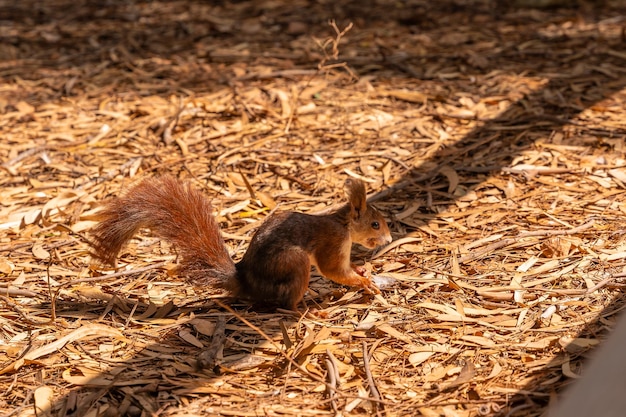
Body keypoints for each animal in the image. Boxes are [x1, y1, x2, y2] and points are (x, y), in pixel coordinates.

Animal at [88, 175, 390, 308]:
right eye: (375, 224)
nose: (388, 239)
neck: (344, 225)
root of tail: (247, 282)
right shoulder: (332, 242)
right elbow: (333, 270)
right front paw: (362, 282)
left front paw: (363, 270)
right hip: (293, 261)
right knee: (285, 304)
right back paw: (310, 311)